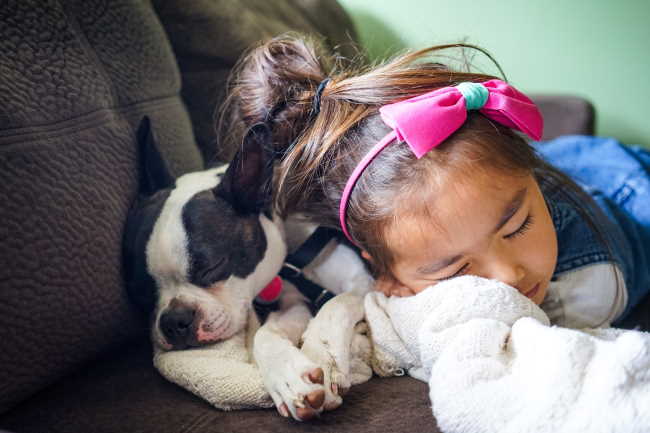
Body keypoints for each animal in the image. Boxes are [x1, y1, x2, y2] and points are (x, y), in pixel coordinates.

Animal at [123, 117, 372, 418]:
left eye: (213, 266)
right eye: (140, 291)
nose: (173, 321)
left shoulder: (363, 281)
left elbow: (337, 305)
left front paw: (325, 356)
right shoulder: (290, 300)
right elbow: (264, 335)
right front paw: (288, 379)